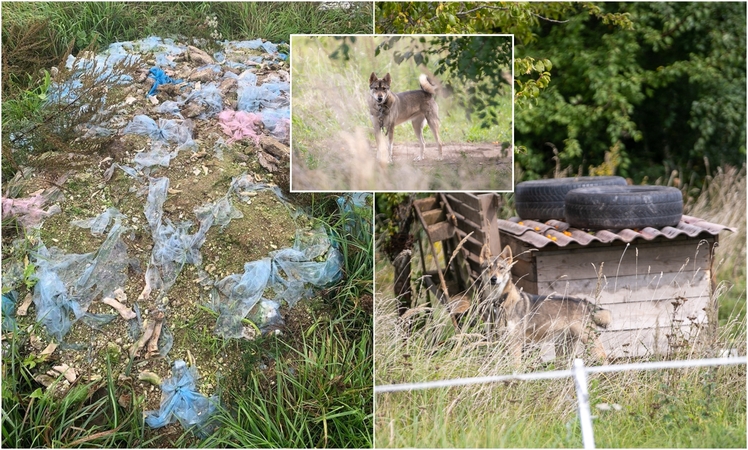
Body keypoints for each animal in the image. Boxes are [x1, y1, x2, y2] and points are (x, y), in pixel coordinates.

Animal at [476, 246, 612, 366]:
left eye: (501, 268)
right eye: (488, 268)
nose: (493, 279)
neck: (499, 301)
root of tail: (583, 301)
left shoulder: (515, 342)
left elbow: (515, 367)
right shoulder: (499, 341)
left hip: (589, 342)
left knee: (604, 358)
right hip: (563, 348)